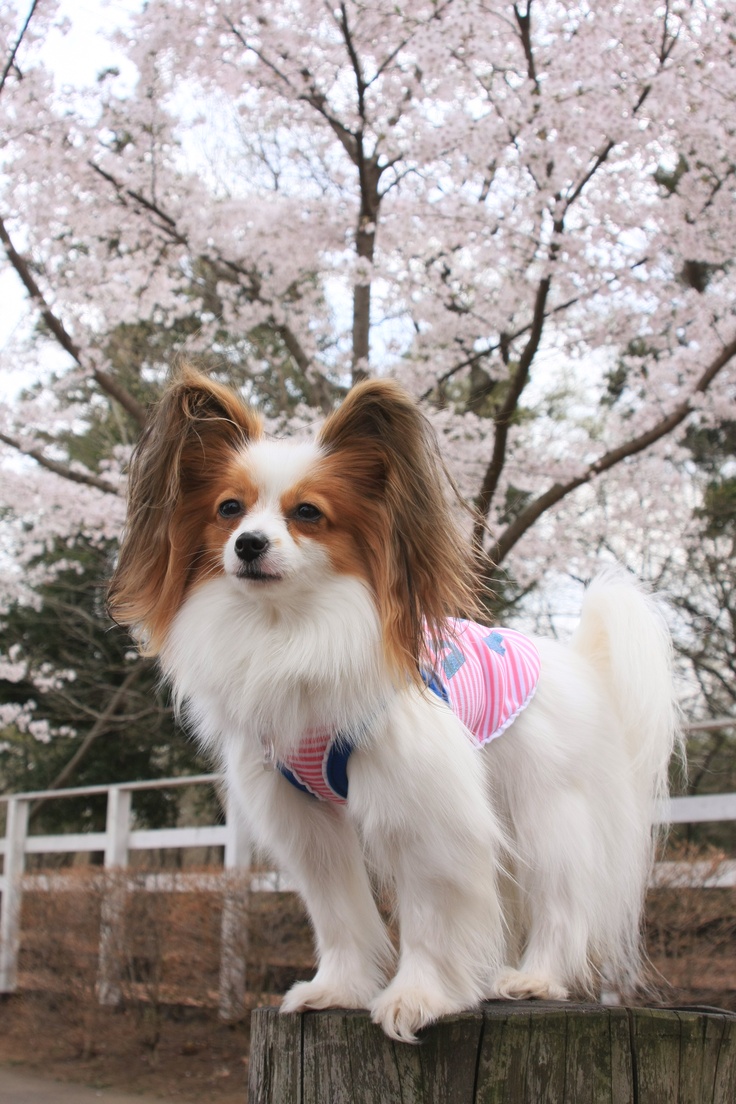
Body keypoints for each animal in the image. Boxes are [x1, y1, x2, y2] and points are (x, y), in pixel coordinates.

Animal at [108, 366, 679, 1037]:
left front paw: (418, 998)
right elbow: (339, 915)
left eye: (307, 513)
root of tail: (581, 664)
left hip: (549, 812)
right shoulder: (305, 822)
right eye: (229, 509)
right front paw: (338, 989)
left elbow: (430, 914)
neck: (287, 628)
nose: (248, 544)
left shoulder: (424, 808)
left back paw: (535, 979)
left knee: (564, 900)